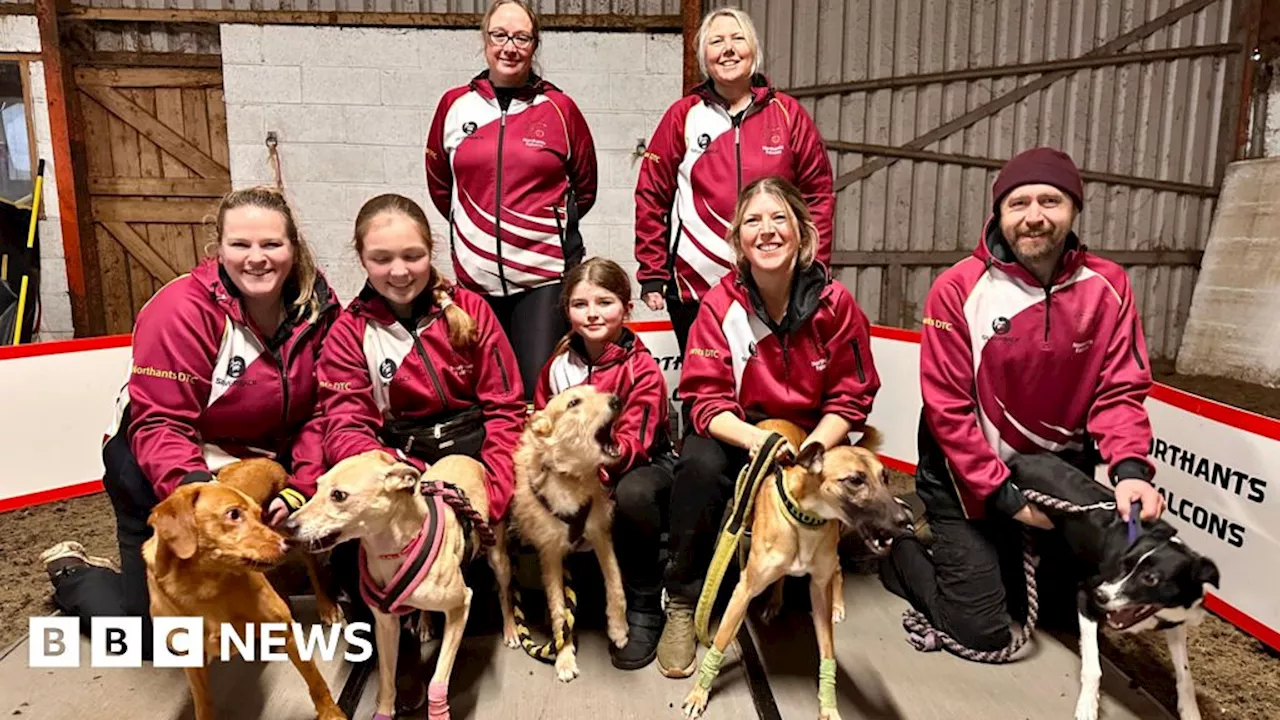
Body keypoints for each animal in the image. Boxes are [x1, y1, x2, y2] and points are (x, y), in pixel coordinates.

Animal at [143, 456, 345, 712]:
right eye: (234, 514)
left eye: (260, 515)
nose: (286, 545)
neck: (205, 589)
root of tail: (261, 459)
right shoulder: (192, 660)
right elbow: (203, 702)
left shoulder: (288, 631)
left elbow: (316, 682)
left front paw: (331, 714)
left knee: (314, 570)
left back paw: (326, 606)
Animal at [284, 448, 514, 717]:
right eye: (317, 486)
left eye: (338, 495)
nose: (288, 525)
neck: (393, 550)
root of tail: (466, 457)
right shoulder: (386, 624)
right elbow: (386, 680)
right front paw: (384, 711)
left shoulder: (461, 606)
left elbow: (437, 680)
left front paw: (438, 712)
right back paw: (424, 623)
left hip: (498, 557)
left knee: (505, 593)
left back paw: (510, 628)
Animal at [512, 384, 627, 681]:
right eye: (574, 402)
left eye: (596, 390)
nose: (617, 399)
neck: (569, 479)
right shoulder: (549, 552)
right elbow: (559, 610)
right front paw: (563, 658)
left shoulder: (600, 534)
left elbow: (616, 583)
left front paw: (618, 628)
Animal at [680, 420, 911, 717]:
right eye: (855, 480)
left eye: (885, 478)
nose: (905, 520)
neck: (806, 518)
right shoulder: (744, 590)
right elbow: (719, 642)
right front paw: (700, 692)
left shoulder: (819, 592)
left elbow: (827, 653)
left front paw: (829, 705)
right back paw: (775, 602)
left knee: (837, 570)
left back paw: (837, 605)